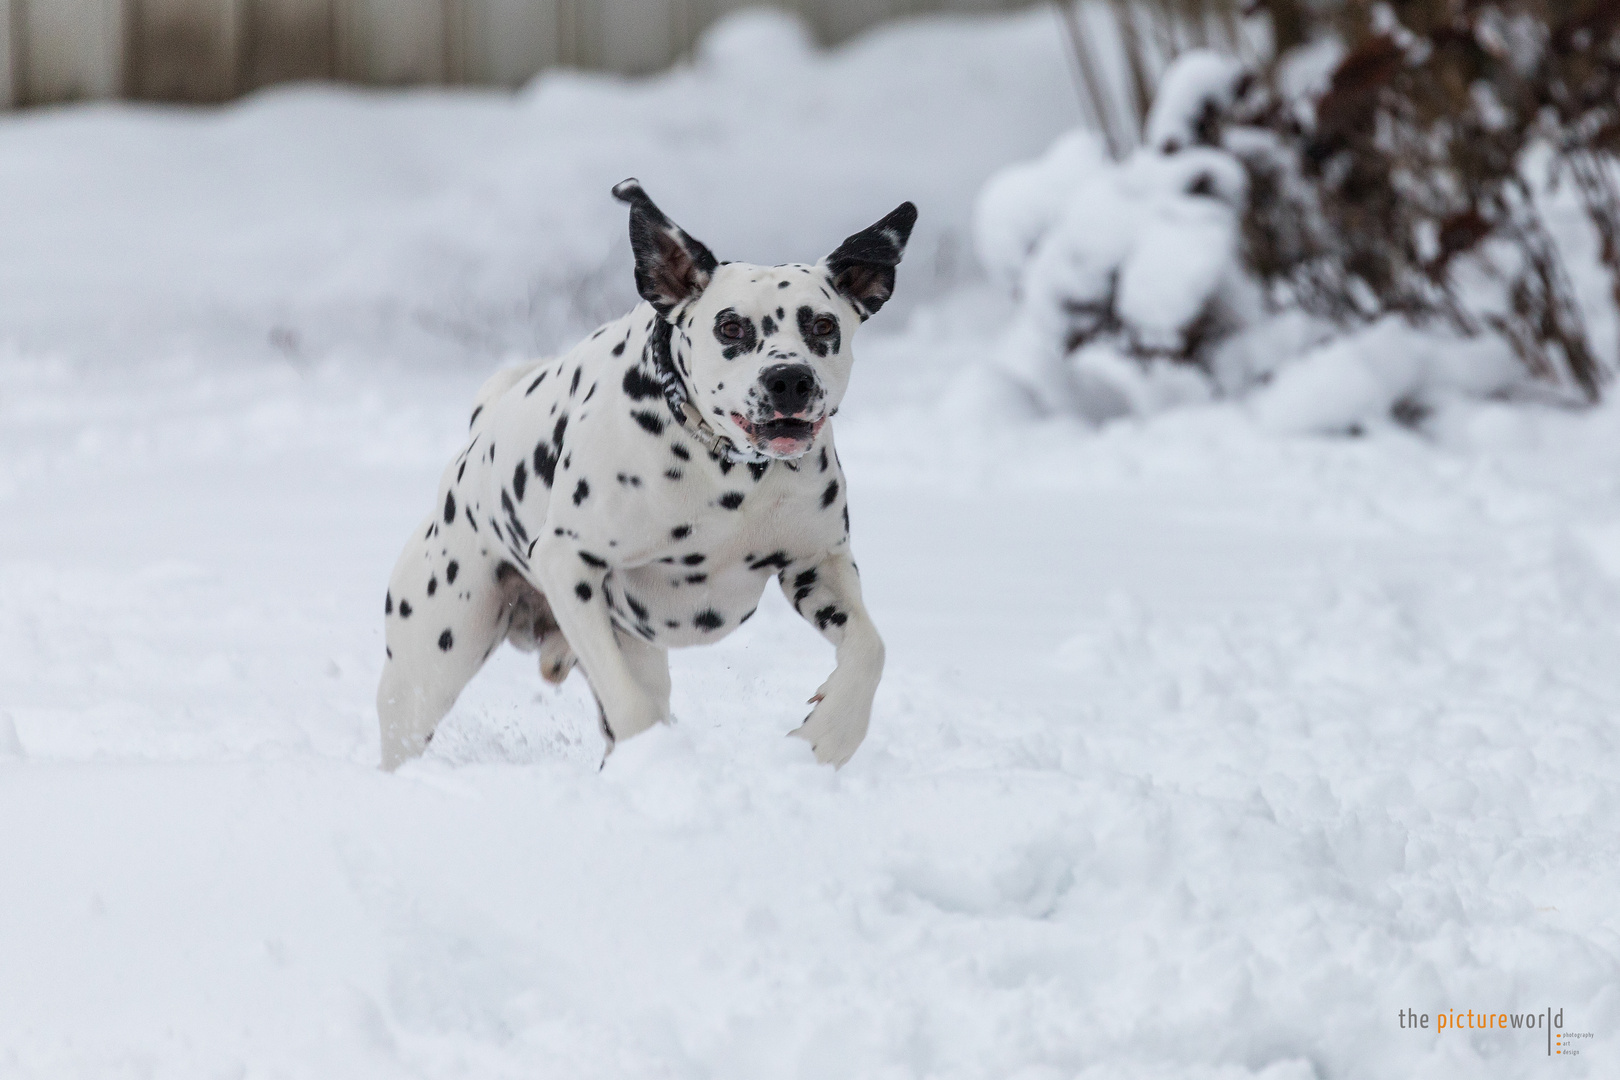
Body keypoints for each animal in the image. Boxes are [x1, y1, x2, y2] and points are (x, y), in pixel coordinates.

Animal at [370, 179, 920, 767]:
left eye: (823, 325)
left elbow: (870, 649)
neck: (728, 472)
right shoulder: (567, 563)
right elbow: (632, 709)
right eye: (731, 327)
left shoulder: (816, 564)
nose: (790, 378)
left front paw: (828, 735)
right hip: (430, 667)